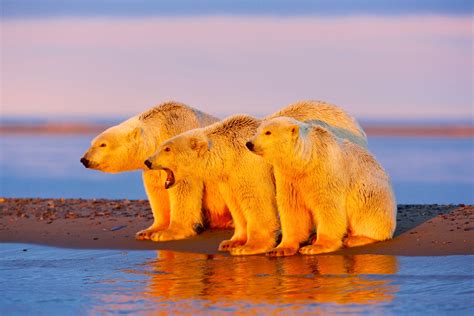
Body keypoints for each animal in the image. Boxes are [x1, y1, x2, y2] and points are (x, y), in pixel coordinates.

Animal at [80, 102, 231, 241]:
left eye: (102, 144)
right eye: (92, 143)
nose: (84, 159)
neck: (162, 128)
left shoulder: (182, 156)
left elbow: (183, 189)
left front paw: (169, 232)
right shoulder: (152, 166)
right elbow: (158, 191)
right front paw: (149, 231)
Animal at [144, 115, 278, 256]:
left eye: (167, 149)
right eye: (160, 146)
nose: (147, 161)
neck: (230, 150)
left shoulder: (249, 165)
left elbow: (256, 200)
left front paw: (249, 247)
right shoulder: (229, 177)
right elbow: (235, 203)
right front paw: (231, 243)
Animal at [246, 117, 398, 256]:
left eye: (268, 132)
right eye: (258, 130)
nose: (249, 143)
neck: (307, 161)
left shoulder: (325, 171)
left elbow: (328, 206)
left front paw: (315, 247)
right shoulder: (289, 178)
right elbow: (293, 209)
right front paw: (280, 249)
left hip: (372, 196)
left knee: (367, 217)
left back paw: (355, 239)